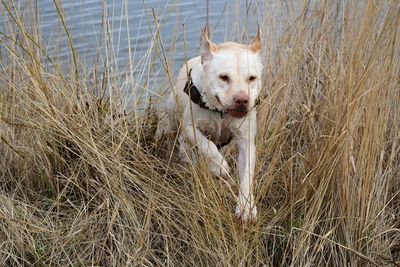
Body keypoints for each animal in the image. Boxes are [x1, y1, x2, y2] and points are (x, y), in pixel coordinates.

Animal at [165, 25, 262, 224]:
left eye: (252, 78)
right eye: (224, 77)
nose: (242, 99)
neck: (221, 113)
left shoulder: (246, 141)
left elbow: (247, 175)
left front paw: (246, 207)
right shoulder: (190, 127)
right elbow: (206, 145)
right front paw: (218, 166)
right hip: (171, 118)